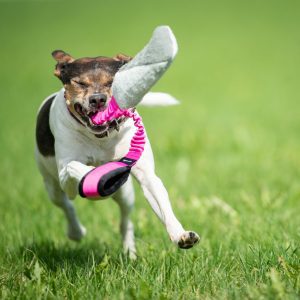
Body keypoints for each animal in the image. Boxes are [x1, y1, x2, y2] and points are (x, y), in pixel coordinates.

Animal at [35, 49, 199, 258]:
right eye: (80, 83)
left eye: (112, 82)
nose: (98, 99)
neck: (100, 138)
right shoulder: (65, 174)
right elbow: (74, 167)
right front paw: (95, 174)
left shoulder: (147, 175)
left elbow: (162, 203)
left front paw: (181, 235)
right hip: (52, 186)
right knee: (66, 204)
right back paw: (76, 231)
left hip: (125, 194)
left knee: (125, 222)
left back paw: (130, 253)